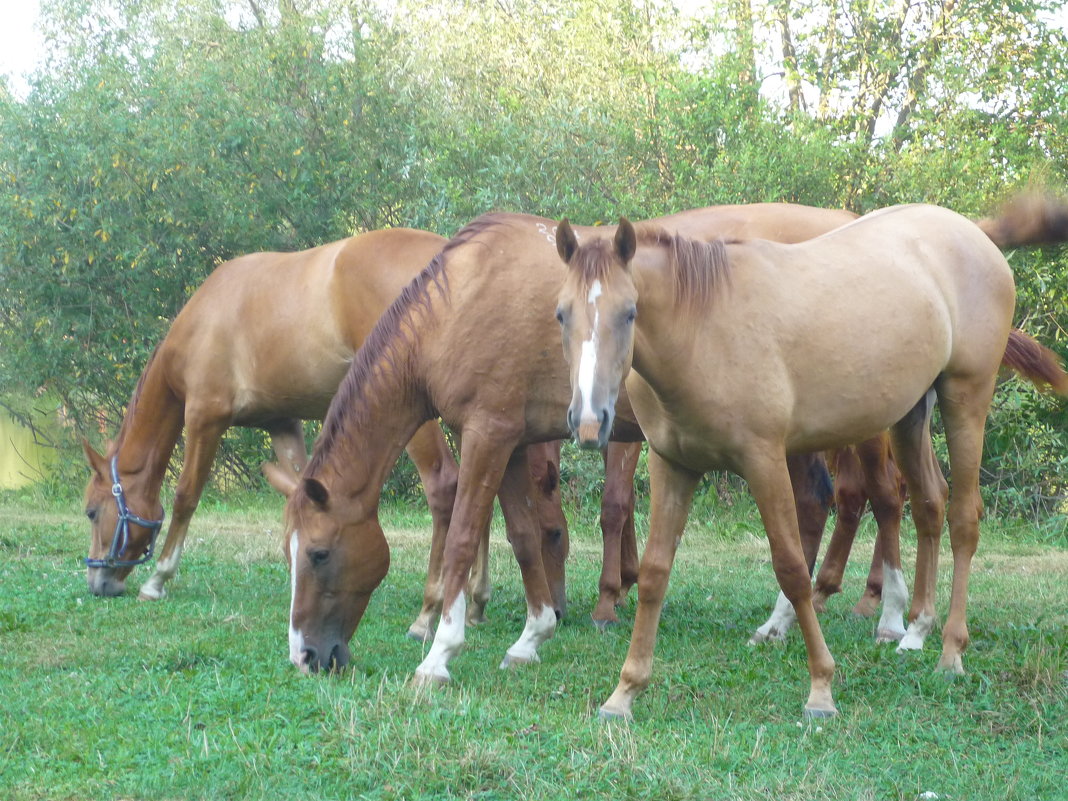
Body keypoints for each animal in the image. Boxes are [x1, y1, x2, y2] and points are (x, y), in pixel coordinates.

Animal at [271, 203, 862, 679]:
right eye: (289, 552)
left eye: (319, 554)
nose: (304, 656)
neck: (459, 303)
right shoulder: (508, 441)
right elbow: (524, 536)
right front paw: (532, 635)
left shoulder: (486, 435)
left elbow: (463, 536)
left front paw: (439, 654)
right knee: (815, 504)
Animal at [555, 201, 1068, 721]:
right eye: (561, 314)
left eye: (630, 312)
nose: (589, 420)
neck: (704, 327)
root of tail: (973, 232)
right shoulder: (672, 465)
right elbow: (656, 573)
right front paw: (624, 691)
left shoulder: (763, 460)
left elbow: (792, 567)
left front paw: (821, 688)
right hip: (908, 417)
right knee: (929, 505)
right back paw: (916, 630)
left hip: (965, 397)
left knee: (962, 518)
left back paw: (949, 651)